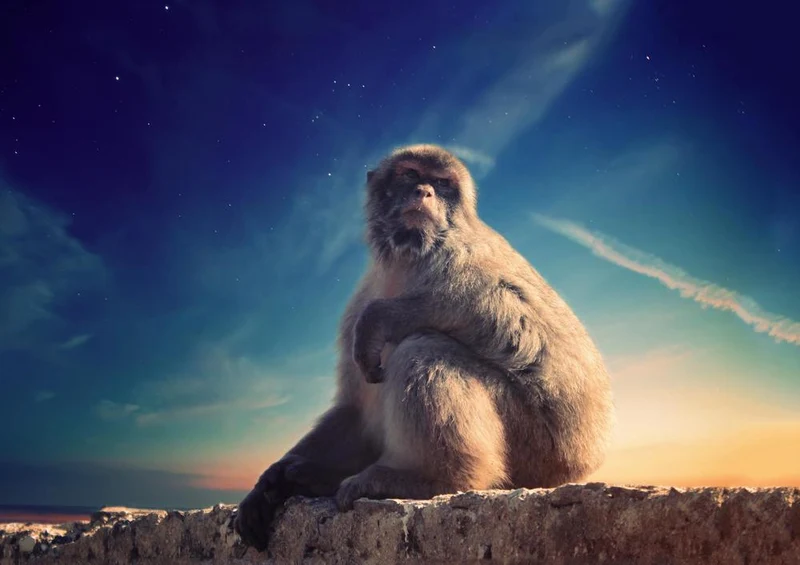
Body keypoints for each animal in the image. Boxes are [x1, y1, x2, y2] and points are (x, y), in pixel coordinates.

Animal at [234, 144, 614, 551]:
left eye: (443, 184)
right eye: (411, 175)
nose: (425, 192)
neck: (406, 258)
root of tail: (581, 462)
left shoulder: (463, 252)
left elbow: (516, 316)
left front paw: (382, 316)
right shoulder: (358, 302)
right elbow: (355, 408)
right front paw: (273, 480)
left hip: (536, 447)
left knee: (422, 347)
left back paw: (429, 478)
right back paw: (319, 477)